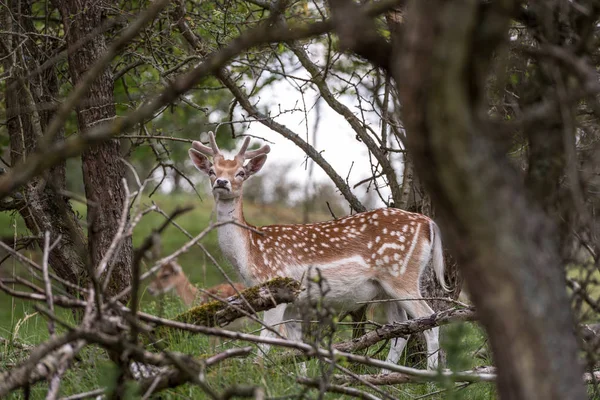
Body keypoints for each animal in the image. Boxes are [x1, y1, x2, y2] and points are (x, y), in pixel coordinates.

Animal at [190, 133, 448, 370]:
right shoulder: (292, 300)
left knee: (430, 322)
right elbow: (297, 346)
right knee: (399, 330)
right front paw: (300, 378)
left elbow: (265, 343)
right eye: (211, 170)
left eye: (241, 173)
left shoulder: (273, 288)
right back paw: (385, 374)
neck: (251, 251)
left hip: (402, 275)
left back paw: (429, 380)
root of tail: (428, 223)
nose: (222, 182)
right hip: (385, 288)